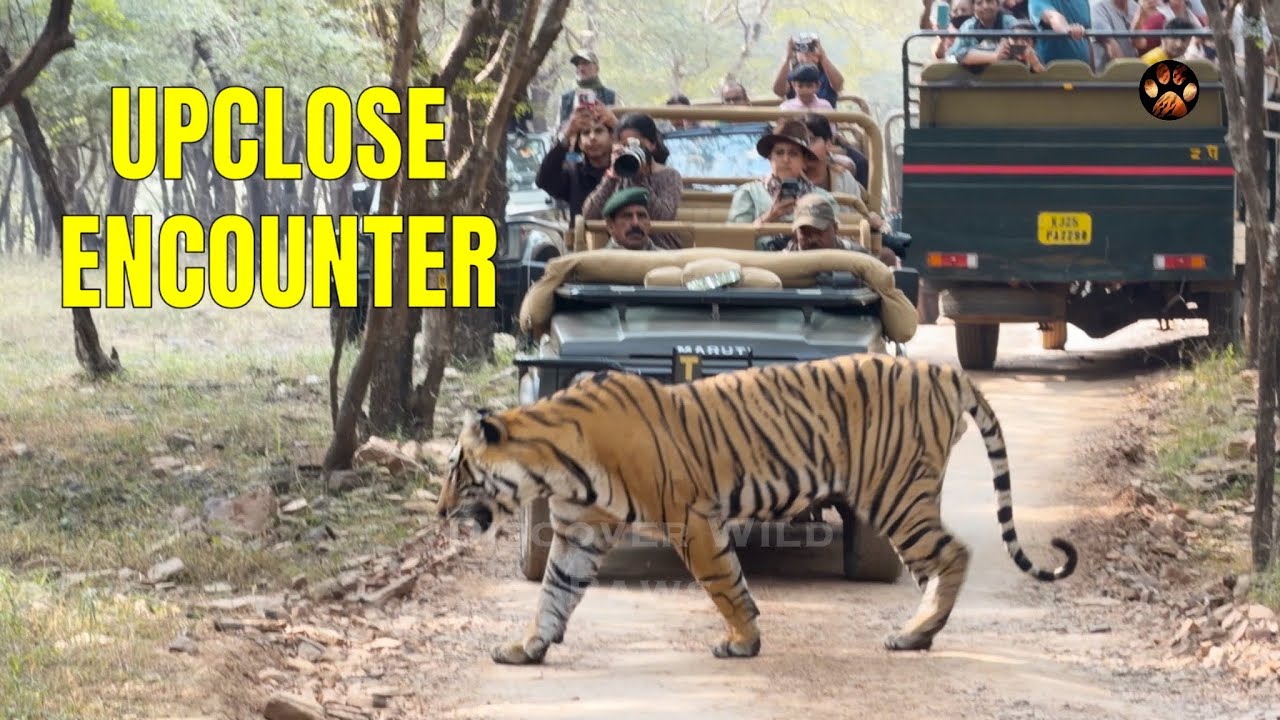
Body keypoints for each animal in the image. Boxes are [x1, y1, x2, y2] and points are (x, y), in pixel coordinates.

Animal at [436, 352, 1078, 665]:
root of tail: (940, 368)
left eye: (455, 471)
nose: (439, 513)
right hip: (906, 493)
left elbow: (725, 583)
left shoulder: (691, 518)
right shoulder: (578, 533)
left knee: (952, 554)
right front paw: (528, 648)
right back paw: (922, 631)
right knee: (937, 565)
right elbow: (555, 593)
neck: (553, 463)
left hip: (895, 493)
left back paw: (913, 635)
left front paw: (744, 642)